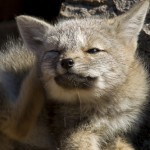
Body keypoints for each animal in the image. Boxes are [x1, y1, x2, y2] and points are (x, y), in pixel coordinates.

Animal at [0, 0, 149, 149]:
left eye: (93, 50)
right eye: (55, 51)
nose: (66, 62)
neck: (104, 109)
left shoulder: (115, 133)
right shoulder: (74, 133)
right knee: (17, 125)